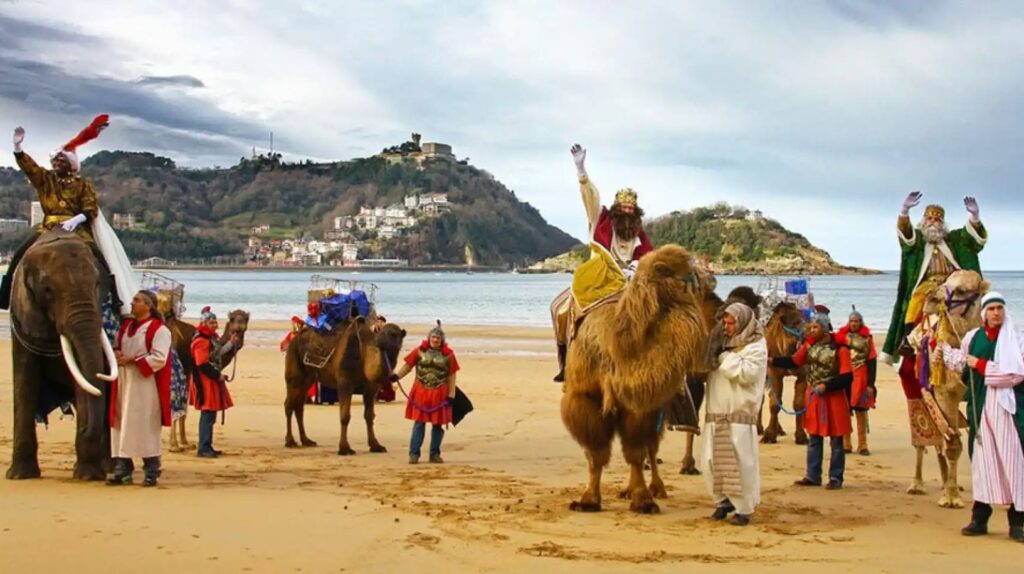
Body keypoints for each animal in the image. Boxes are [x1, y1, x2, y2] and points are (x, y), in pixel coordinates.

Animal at [6, 228, 117, 478]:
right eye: (47, 291)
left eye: (98, 283)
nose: (85, 430)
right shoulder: (22, 315)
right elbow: (24, 380)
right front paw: (20, 475)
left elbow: (85, 382)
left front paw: (87, 475)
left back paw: (108, 468)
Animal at [284, 317, 407, 452]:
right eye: (379, 332)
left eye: (393, 334)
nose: (378, 342)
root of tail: (295, 337)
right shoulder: (345, 382)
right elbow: (345, 416)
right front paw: (344, 448)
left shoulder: (371, 388)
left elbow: (369, 416)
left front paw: (376, 445)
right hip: (294, 367)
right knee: (289, 403)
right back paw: (290, 441)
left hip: (308, 377)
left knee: (299, 405)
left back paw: (306, 440)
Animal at [561, 243, 712, 511]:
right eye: (688, 271)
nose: (711, 279)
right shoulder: (585, 398)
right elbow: (596, 453)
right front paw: (588, 499)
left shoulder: (642, 404)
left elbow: (636, 451)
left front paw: (643, 500)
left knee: (651, 449)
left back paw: (655, 488)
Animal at [761, 302, 806, 446]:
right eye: (794, 323)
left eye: (803, 318)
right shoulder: (774, 372)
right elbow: (775, 404)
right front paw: (769, 436)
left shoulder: (803, 374)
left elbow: (798, 403)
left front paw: (801, 437)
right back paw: (760, 429)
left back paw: (778, 430)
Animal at [909, 268, 987, 505]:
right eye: (946, 281)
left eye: (962, 289)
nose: (931, 299)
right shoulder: (946, 393)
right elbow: (952, 443)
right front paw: (951, 498)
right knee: (923, 438)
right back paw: (917, 485)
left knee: (938, 439)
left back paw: (945, 482)